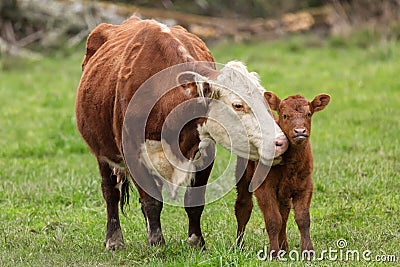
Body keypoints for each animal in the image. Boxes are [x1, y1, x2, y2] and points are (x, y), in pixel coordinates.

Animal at [75, 16, 288, 251]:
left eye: (264, 99)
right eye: (238, 105)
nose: (281, 142)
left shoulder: (205, 150)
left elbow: (194, 201)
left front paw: (196, 241)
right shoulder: (133, 154)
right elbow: (151, 202)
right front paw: (157, 243)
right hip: (102, 153)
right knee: (110, 191)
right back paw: (114, 240)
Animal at [234, 92, 332, 258]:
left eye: (309, 114)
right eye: (285, 115)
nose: (300, 131)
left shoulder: (305, 185)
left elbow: (302, 219)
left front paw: (308, 251)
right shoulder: (264, 187)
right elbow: (273, 219)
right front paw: (273, 253)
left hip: (284, 192)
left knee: (284, 213)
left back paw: (284, 246)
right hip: (243, 175)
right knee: (243, 206)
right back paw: (239, 246)